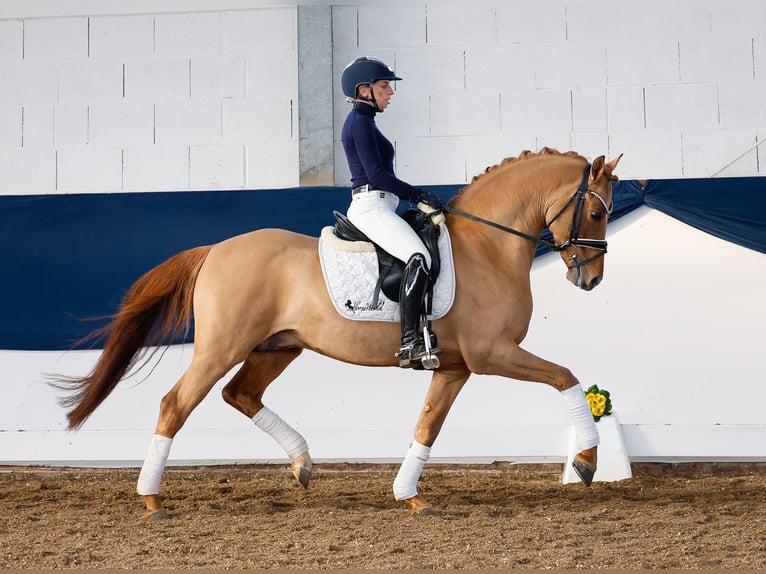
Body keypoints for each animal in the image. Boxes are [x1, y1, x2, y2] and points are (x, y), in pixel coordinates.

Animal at [58, 148, 624, 520]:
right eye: (597, 211)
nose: (591, 279)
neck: (488, 247)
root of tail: (215, 249)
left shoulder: (457, 367)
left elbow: (427, 426)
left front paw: (409, 495)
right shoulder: (493, 355)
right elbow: (567, 377)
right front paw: (587, 460)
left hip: (277, 347)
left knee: (240, 394)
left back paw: (303, 464)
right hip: (222, 347)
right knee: (176, 403)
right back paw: (151, 498)